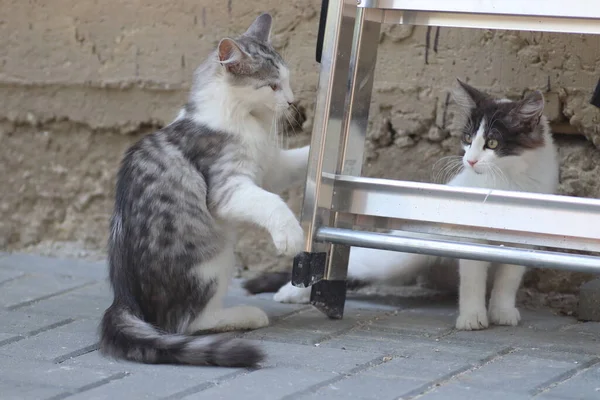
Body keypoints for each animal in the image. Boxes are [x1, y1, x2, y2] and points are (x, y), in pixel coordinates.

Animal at [99, 14, 310, 368]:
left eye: (288, 80)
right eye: (272, 86)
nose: (292, 101)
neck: (245, 119)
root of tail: (124, 300)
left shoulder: (272, 167)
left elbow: (299, 160)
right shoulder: (229, 187)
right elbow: (272, 202)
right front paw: (290, 235)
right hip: (213, 260)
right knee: (188, 322)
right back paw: (246, 314)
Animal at [255, 80, 560, 332]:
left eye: (493, 143)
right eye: (468, 139)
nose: (470, 160)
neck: (507, 181)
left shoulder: (525, 239)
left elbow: (509, 278)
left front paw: (502, 311)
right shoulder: (469, 236)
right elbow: (473, 279)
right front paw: (472, 317)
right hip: (401, 254)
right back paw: (291, 291)